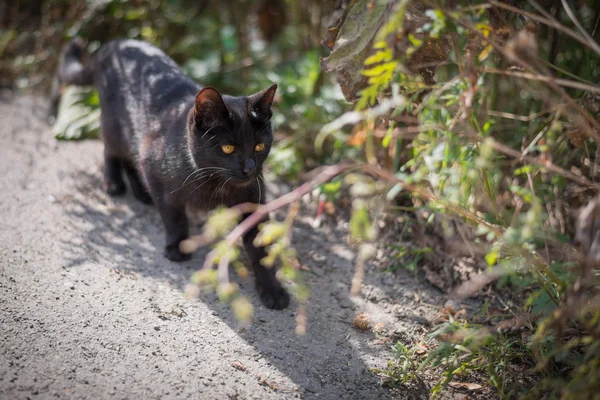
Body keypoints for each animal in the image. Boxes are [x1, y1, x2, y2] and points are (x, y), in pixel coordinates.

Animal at [55, 38, 290, 310]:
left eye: (260, 146)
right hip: (117, 126)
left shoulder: (253, 197)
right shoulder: (155, 168)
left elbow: (259, 246)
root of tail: (113, 44)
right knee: (111, 148)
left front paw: (272, 288)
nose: (250, 169)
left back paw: (140, 192)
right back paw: (114, 183)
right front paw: (177, 247)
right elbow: (173, 215)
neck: (213, 182)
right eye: (228, 148)